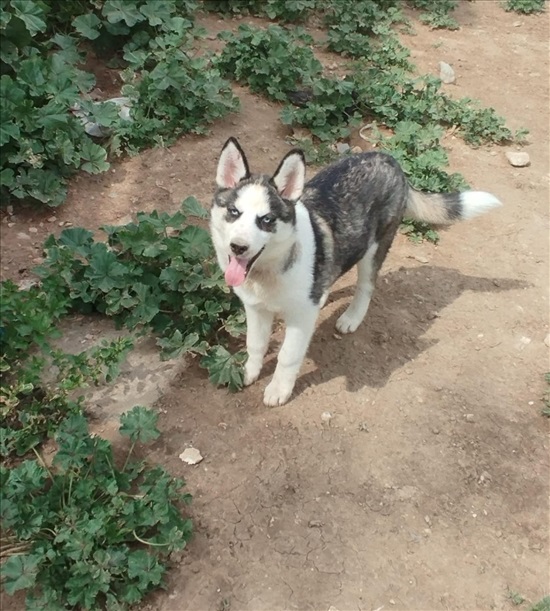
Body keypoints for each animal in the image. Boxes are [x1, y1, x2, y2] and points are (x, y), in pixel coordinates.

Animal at [211, 137, 504, 408]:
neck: (269, 269)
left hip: (373, 249)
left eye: (267, 220)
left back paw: (352, 317)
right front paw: (248, 372)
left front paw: (278, 390)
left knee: (366, 286)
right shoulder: (255, 308)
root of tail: (391, 160)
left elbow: (288, 356)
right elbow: (255, 343)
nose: (238, 247)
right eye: (233, 212)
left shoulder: (299, 318)